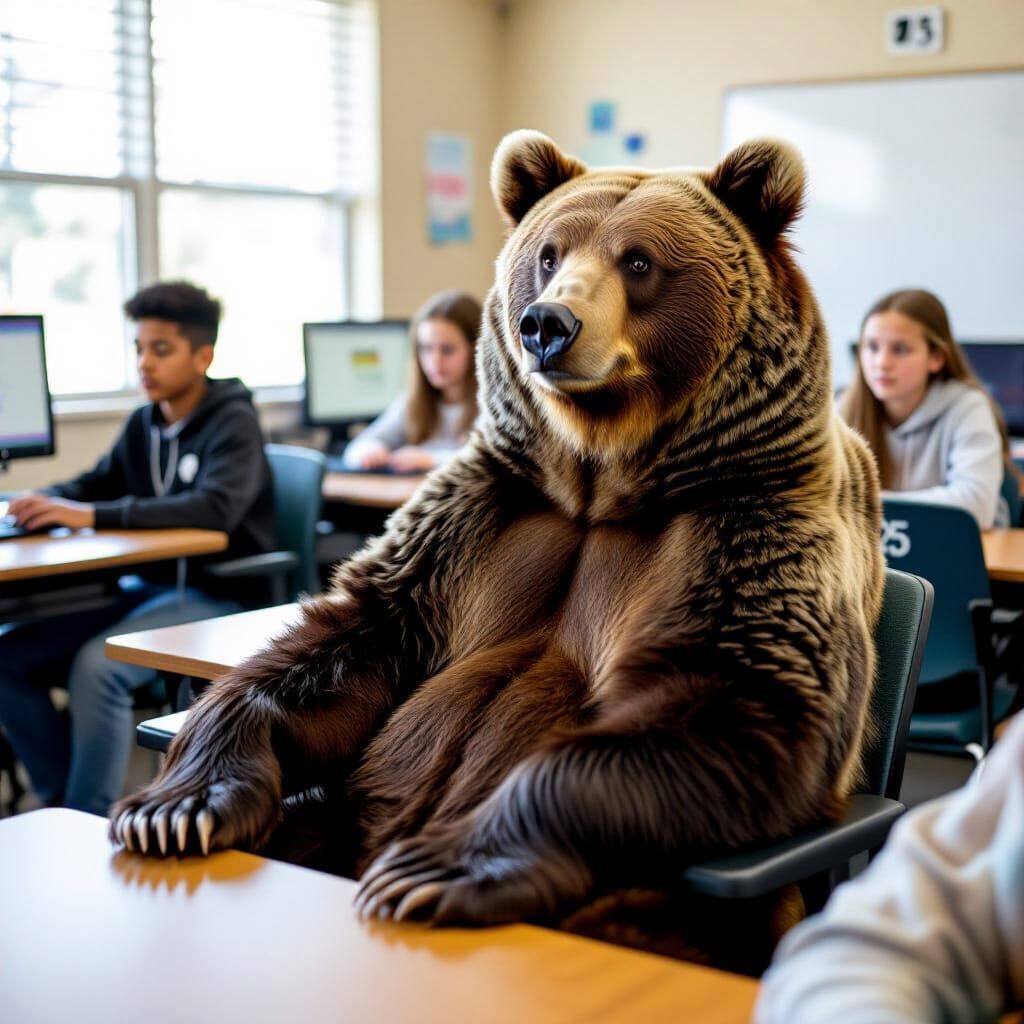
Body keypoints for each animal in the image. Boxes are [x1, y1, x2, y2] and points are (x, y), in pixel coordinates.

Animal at [111, 130, 884, 965]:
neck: (598, 477)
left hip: (670, 908)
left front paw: (432, 869)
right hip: (332, 817)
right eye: (547, 253)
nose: (547, 324)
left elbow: (728, 697)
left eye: (639, 260)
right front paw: (174, 808)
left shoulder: (741, 520)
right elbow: (345, 640)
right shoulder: (484, 515)